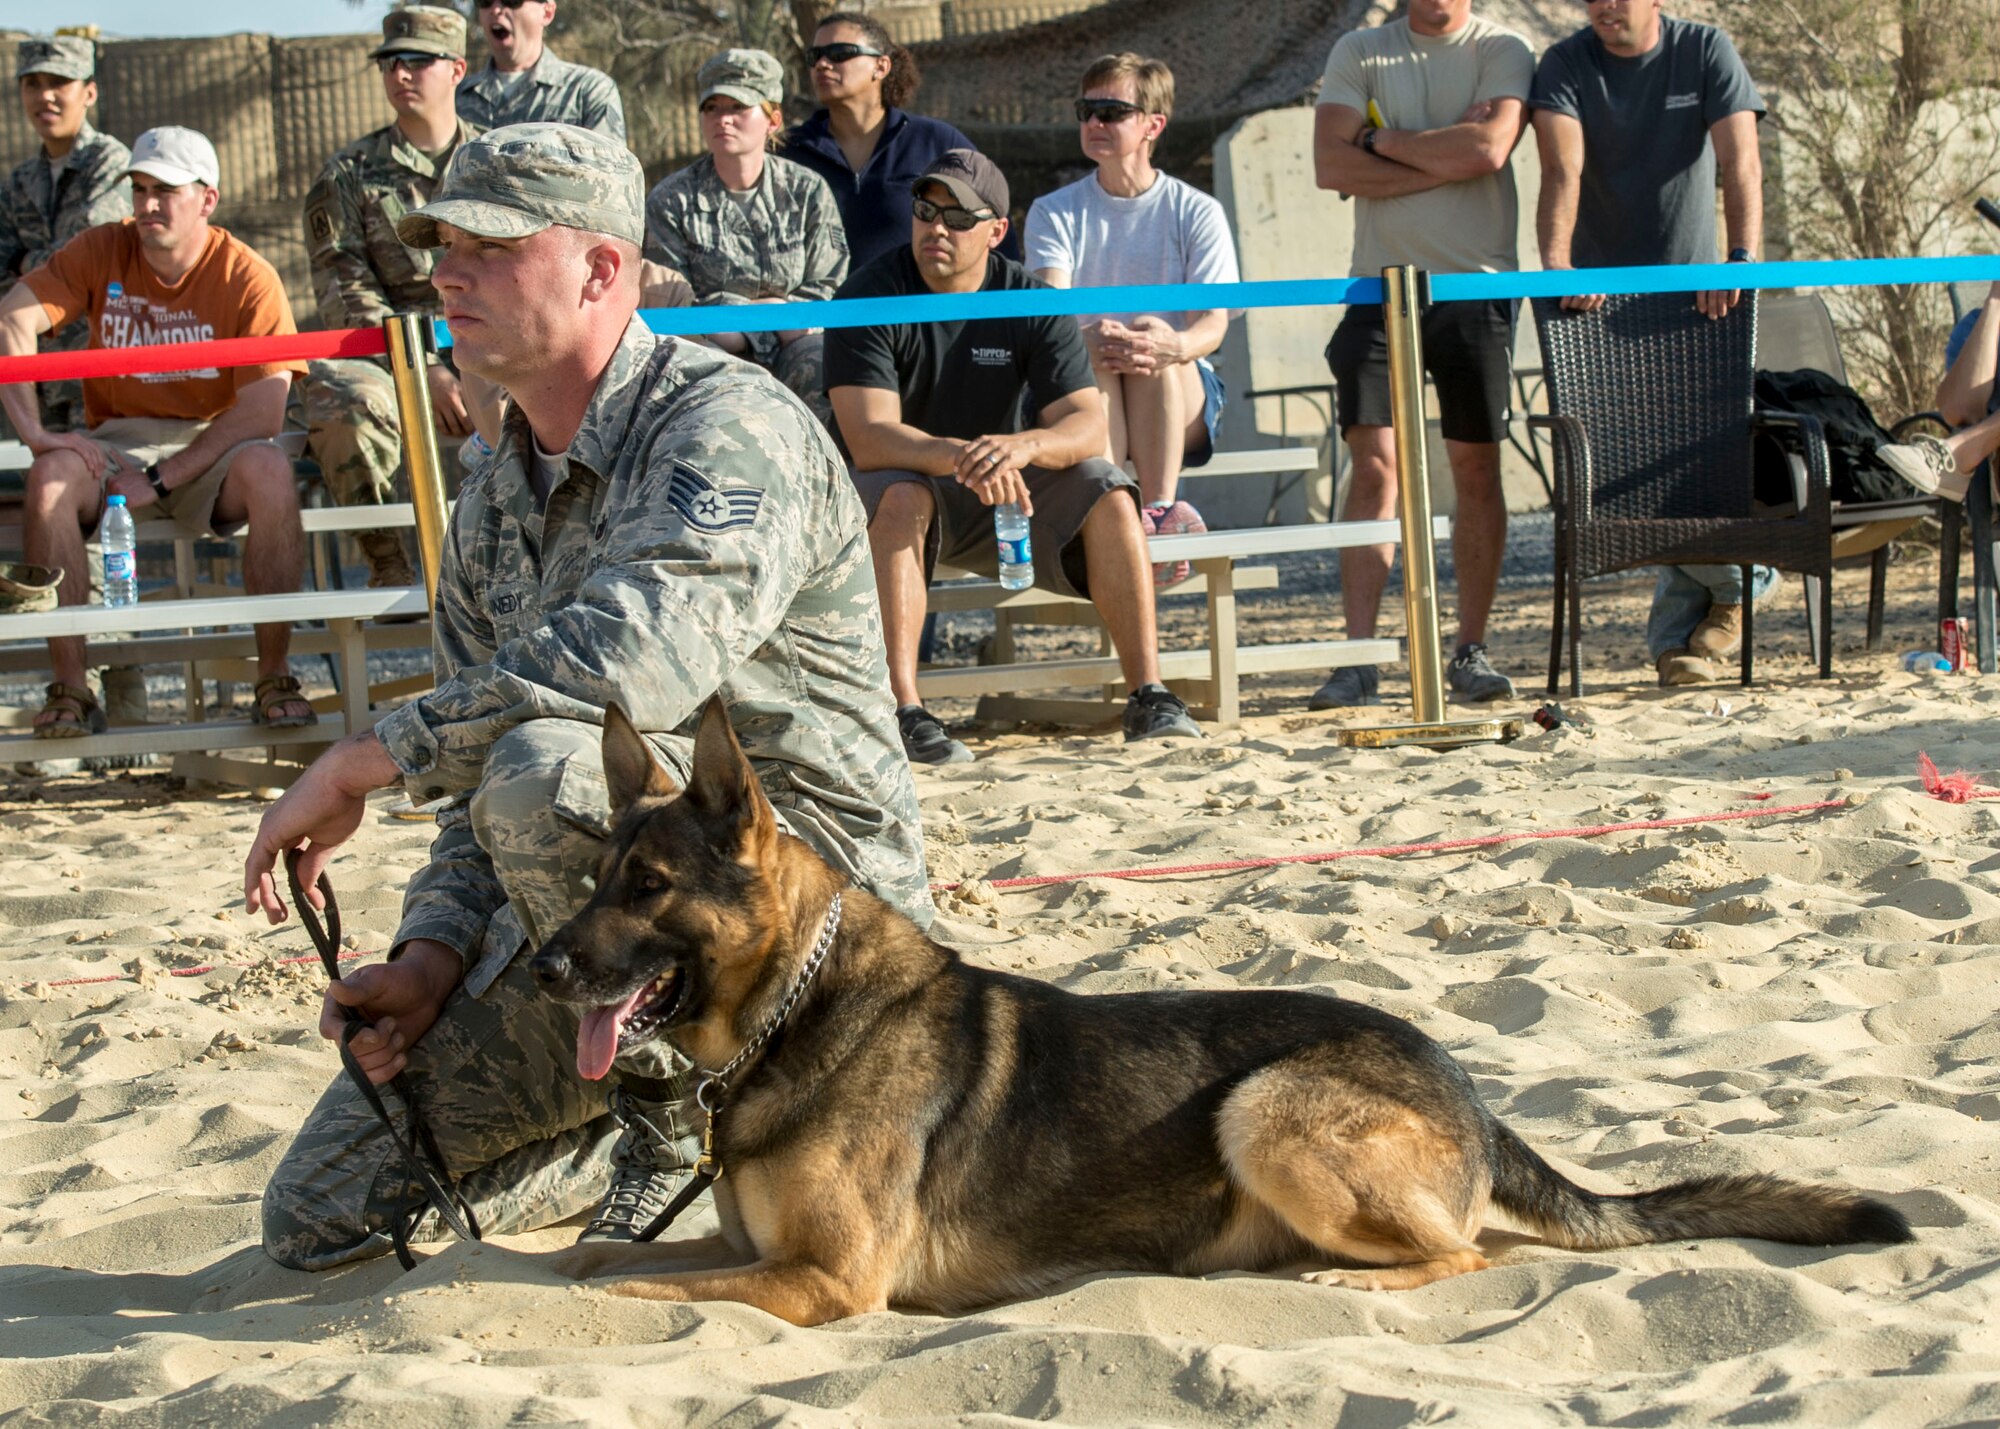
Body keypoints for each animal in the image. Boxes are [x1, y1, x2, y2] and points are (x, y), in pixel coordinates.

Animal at [528, 700, 1904, 1320]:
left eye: (647, 888)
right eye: (594, 877)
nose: (539, 972)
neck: (796, 1011)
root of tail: (1461, 1080)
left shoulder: (822, 1279)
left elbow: (620, 1296)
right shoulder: (756, 1254)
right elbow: (599, 1258)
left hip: (1267, 1107)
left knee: (1475, 1252)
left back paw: (1351, 1281)